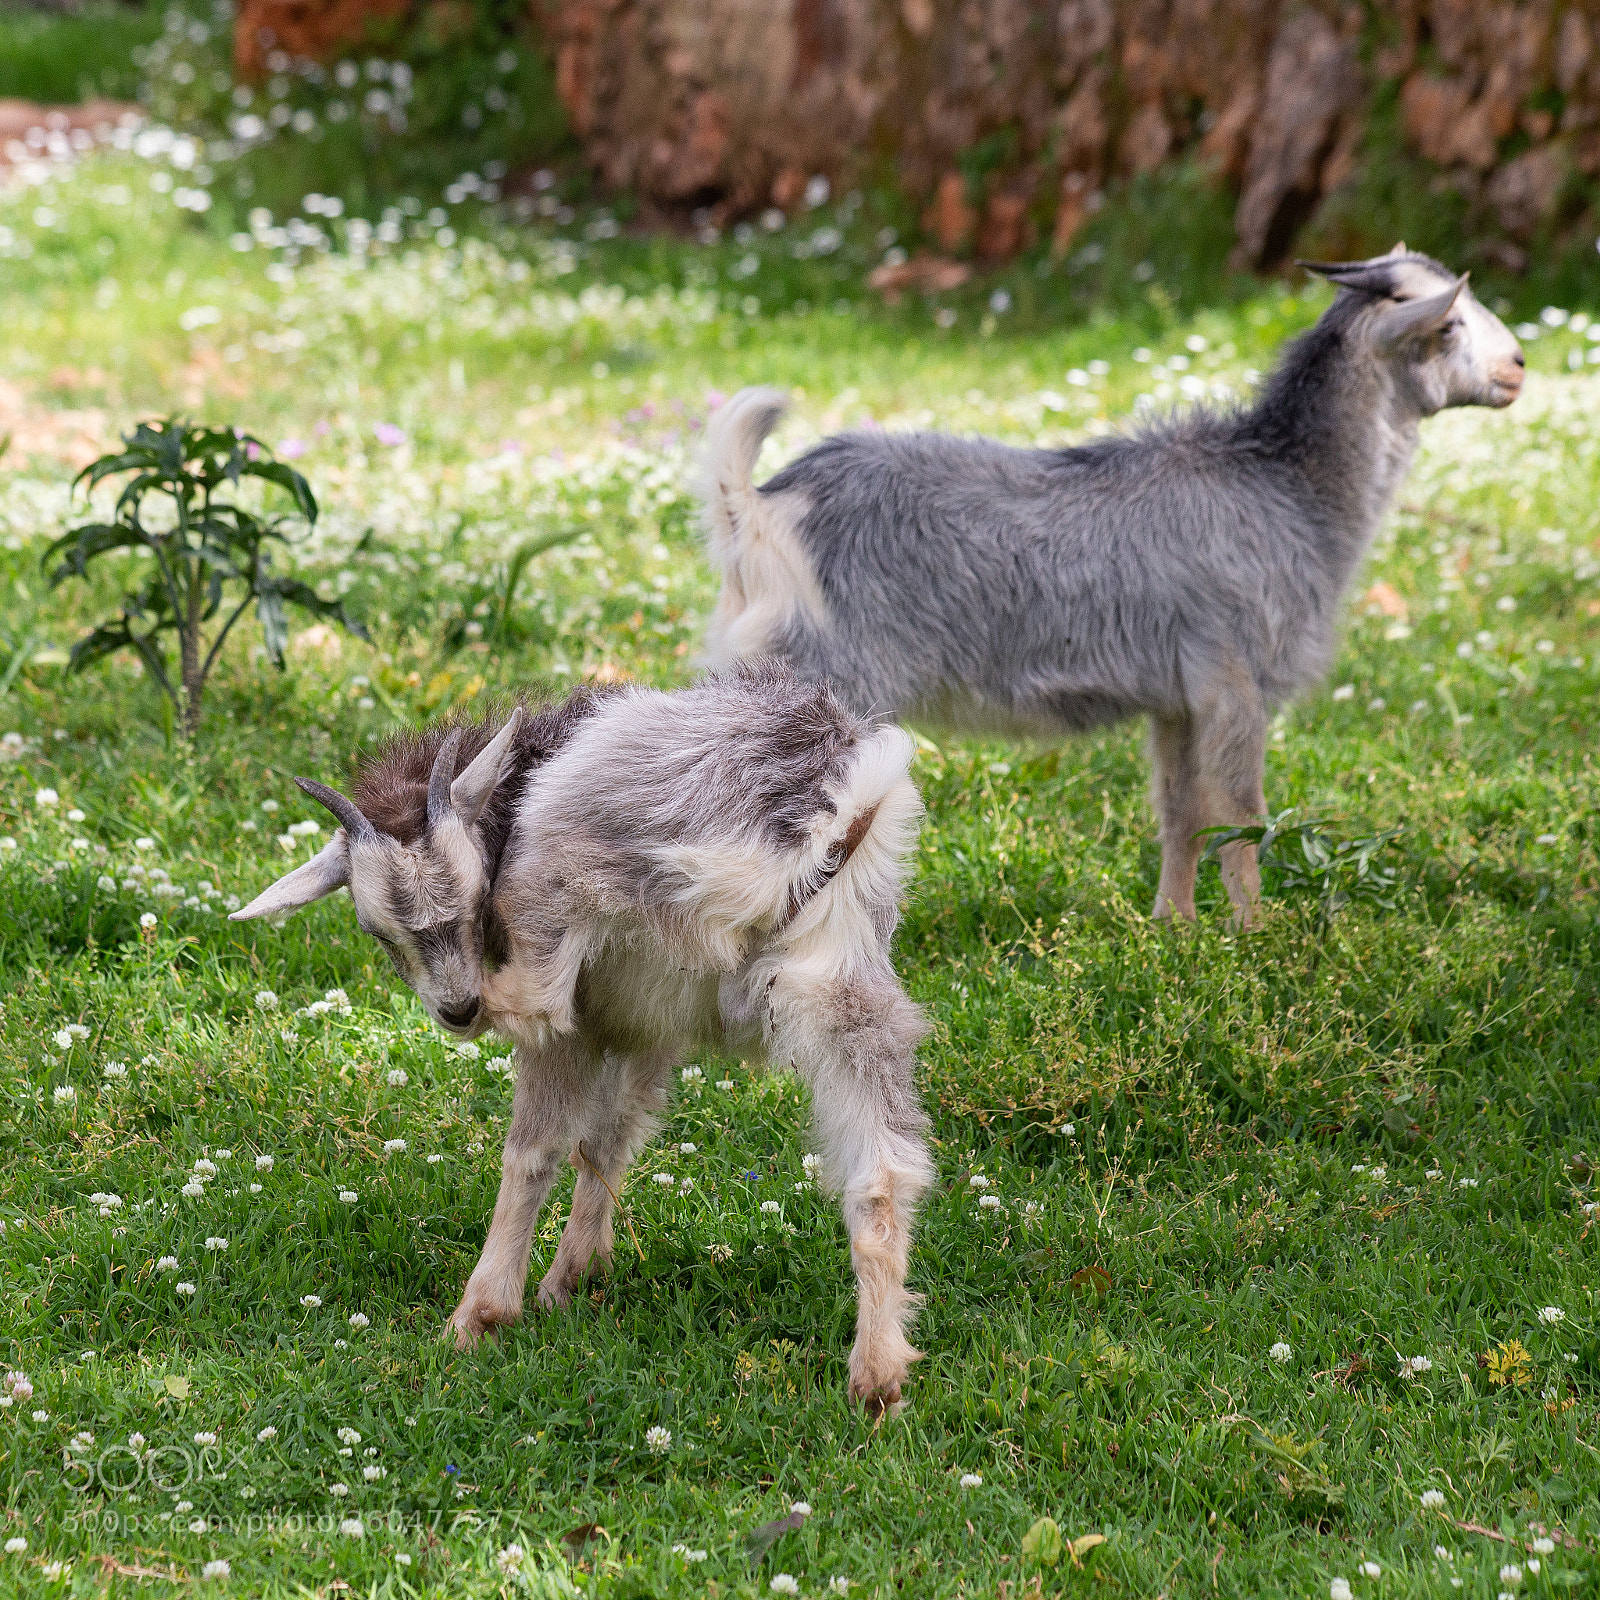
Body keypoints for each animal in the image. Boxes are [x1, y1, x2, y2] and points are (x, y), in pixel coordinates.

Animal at [231, 664, 932, 1413]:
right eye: (379, 930)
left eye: (478, 901)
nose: (458, 1009)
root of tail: (820, 784)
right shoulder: (651, 1020)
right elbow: (611, 1134)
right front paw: (578, 1275)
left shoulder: (590, 1001)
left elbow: (548, 1143)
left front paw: (501, 1311)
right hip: (844, 981)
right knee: (883, 1170)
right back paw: (878, 1378)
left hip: (570, 861)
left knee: (537, 1044)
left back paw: (475, 1308)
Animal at [700, 247, 1525, 927]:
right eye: (1449, 321)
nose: (1518, 366)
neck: (1286, 488)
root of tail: (759, 512)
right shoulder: (1235, 680)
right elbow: (1243, 814)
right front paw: (1255, 938)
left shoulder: (1178, 698)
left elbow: (1181, 812)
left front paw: (1174, 927)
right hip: (830, 686)